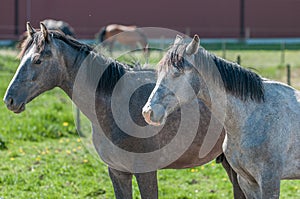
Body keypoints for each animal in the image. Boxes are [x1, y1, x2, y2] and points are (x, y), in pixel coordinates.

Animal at [2, 22, 244, 199]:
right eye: (21, 58)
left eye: (37, 60)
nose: (9, 100)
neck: (116, 106)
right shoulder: (118, 172)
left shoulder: (146, 172)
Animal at [142, 35, 300, 198]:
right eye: (159, 72)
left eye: (177, 72)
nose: (148, 112)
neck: (253, 116)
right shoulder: (248, 182)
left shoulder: (270, 182)